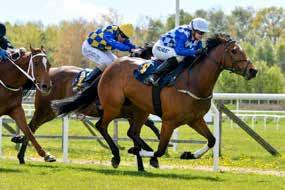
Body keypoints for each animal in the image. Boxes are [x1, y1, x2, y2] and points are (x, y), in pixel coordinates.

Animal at [13, 43, 162, 164]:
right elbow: (143, 129)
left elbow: (148, 127)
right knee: (31, 127)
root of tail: (46, 76)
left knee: (31, 128)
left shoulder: (132, 113)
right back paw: (22, 155)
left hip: (51, 112)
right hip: (43, 109)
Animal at [52, 33, 256, 169]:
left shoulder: (194, 120)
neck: (193, 81)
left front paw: (188, 154)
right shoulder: (169, 121)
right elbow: (160, 148)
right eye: (235, 51)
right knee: (101, 126)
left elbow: (212, 140)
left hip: (139, 110)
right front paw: (145, 155)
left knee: (132, 132)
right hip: (113, 107)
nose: (253, 70)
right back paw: (116, 156)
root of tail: (110, 67)